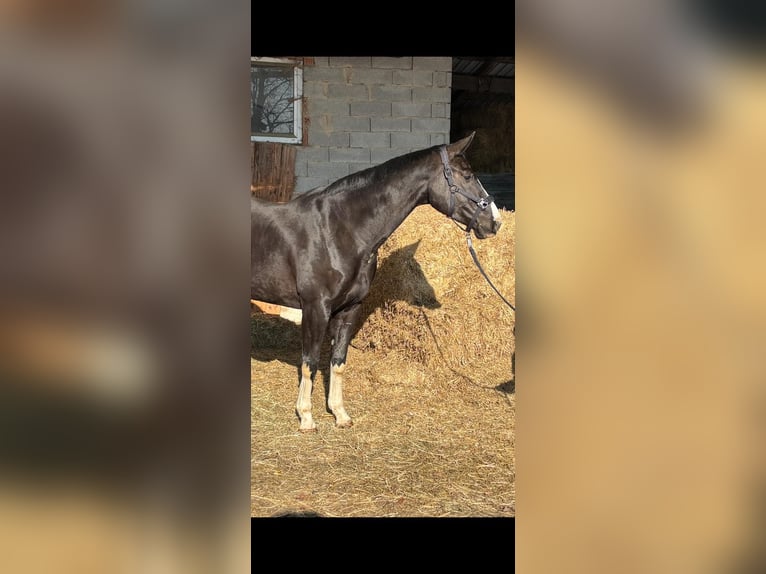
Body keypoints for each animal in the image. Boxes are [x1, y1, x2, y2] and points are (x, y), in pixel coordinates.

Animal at [251, 132, 502, 432]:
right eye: (467, 175)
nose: (495, 222)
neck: (338, 230)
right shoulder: (315, 308)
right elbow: (309, 362)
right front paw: (307, 418)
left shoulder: (350, 308)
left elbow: (338, 361)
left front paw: (340, 414)